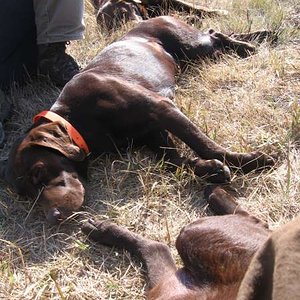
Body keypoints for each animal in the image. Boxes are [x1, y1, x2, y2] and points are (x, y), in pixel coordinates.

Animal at [1, 15, 276, 223]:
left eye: (39, 172)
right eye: (26, 195)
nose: (53, 217)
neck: (77, 118)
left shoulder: (162, 109)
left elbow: (203, 143)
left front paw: (249, 161)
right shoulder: (151, 133)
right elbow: (174, 161)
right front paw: (211, 168)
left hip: (194, 45)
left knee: (214, 33)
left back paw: (249, 45)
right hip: (196, 56)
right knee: (215, 37)